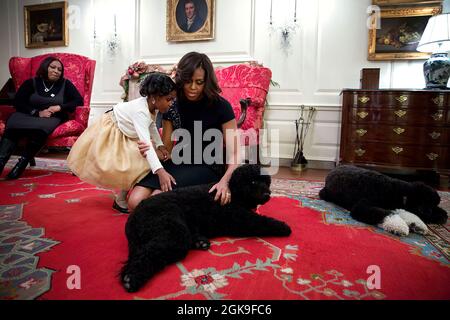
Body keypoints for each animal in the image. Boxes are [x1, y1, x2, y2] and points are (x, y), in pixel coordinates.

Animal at [120, 165, 292, 292]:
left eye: (266, 181)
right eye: (253, 182)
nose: (268, 194)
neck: (234, 193)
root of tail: (133, 216)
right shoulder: (241, 218)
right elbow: (262, 222)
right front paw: (283, 227)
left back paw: (200, 241)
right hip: (173, 232)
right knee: (150, 253)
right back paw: (132, 278)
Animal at [318, 166, 448, 236]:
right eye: (432, 206)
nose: (446, 215)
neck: (399, 191)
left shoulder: (397, 205)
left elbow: (404, 212)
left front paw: (418, 224)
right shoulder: (362, 206)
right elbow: (386, 213)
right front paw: (399, 226)